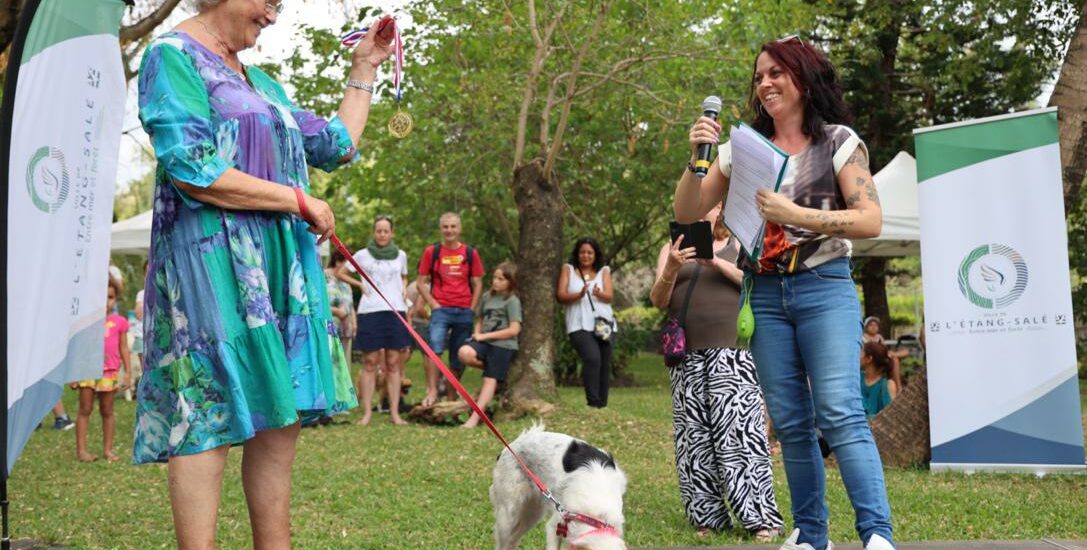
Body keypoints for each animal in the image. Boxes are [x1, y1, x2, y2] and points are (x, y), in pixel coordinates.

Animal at [489, 426, 626, 550]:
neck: (596, 517)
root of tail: (513, 444)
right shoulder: (556, 525)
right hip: (507, 515)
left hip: (532, 513)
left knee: (513, 539)